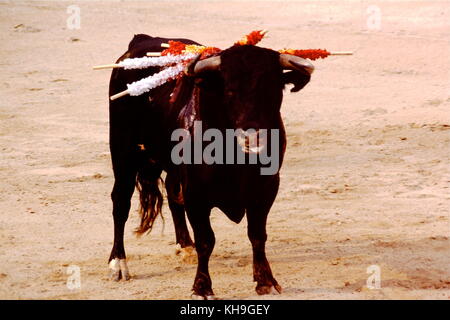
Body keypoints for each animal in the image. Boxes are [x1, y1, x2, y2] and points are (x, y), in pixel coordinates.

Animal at [108, 34, 312, 298]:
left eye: (273, 88)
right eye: (230, 90)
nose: (254, 137)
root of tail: (143, 40)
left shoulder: (266, 187)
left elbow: (257, 235)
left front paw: (265, 280)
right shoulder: (196, 194)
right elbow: (206, 240)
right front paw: (202, 286)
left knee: (172, 194)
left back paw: (185, 246)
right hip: (123, 153)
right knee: (120, 202)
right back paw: (118, 264)